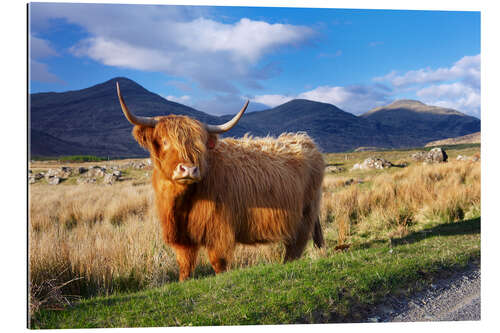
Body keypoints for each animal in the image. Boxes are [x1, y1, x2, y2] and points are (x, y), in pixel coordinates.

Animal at [116, 81, 324, 278]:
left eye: (200, 144)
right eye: (166, 141)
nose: (189, 169)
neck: (182, 202)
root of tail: (306, 141)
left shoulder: (219, 230)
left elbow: (218, 263)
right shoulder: (182, 237)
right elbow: (185, 266)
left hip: (304, 215)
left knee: (295, 248)